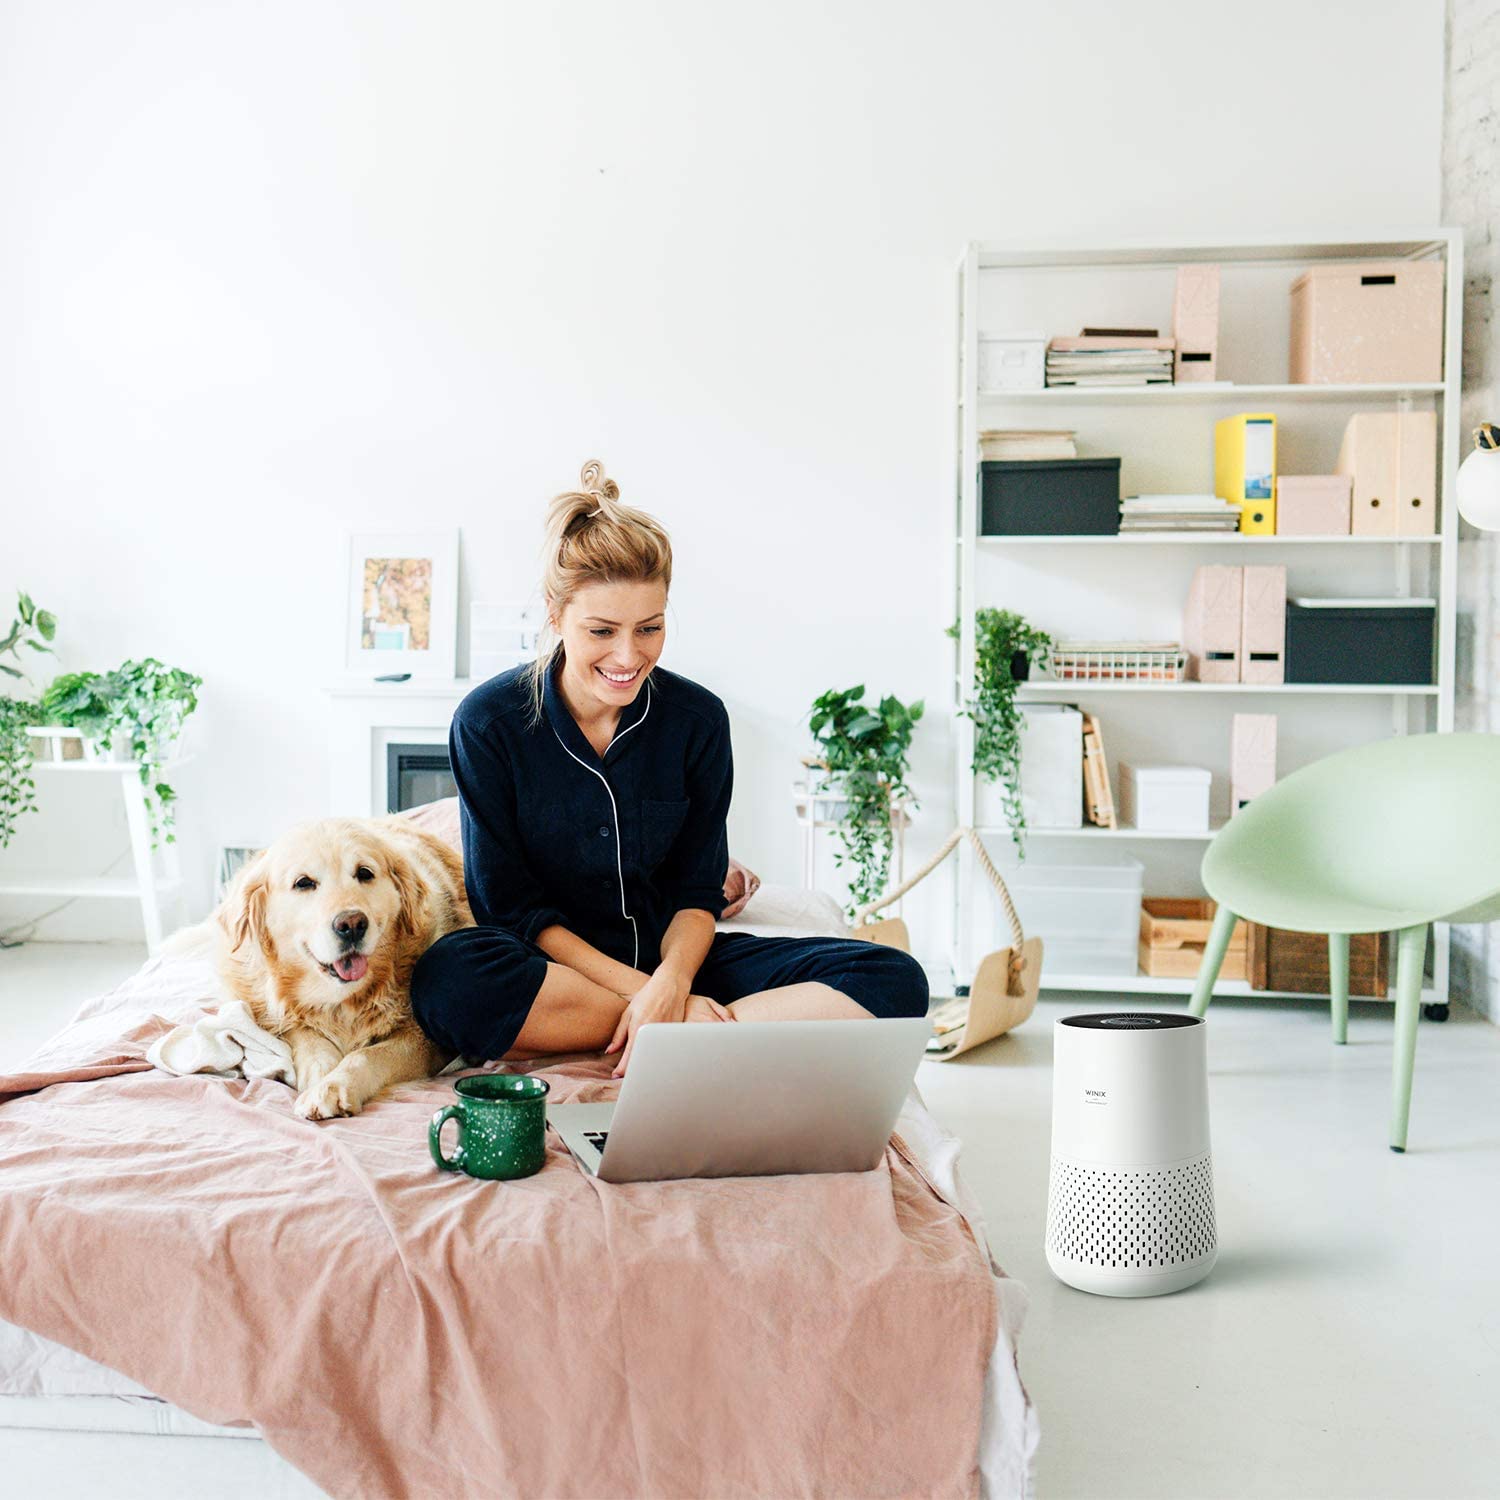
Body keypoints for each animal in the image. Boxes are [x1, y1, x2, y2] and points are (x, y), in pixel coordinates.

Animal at [214, 816, 471, 1122]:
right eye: (303, 883)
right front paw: (320, 1079)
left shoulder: (424, 1039)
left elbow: (365, 1055)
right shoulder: (278, 1017)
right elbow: (311, 1044)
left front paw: (335, 1086)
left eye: (364, 873)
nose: (352, 924)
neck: (344, 1003)